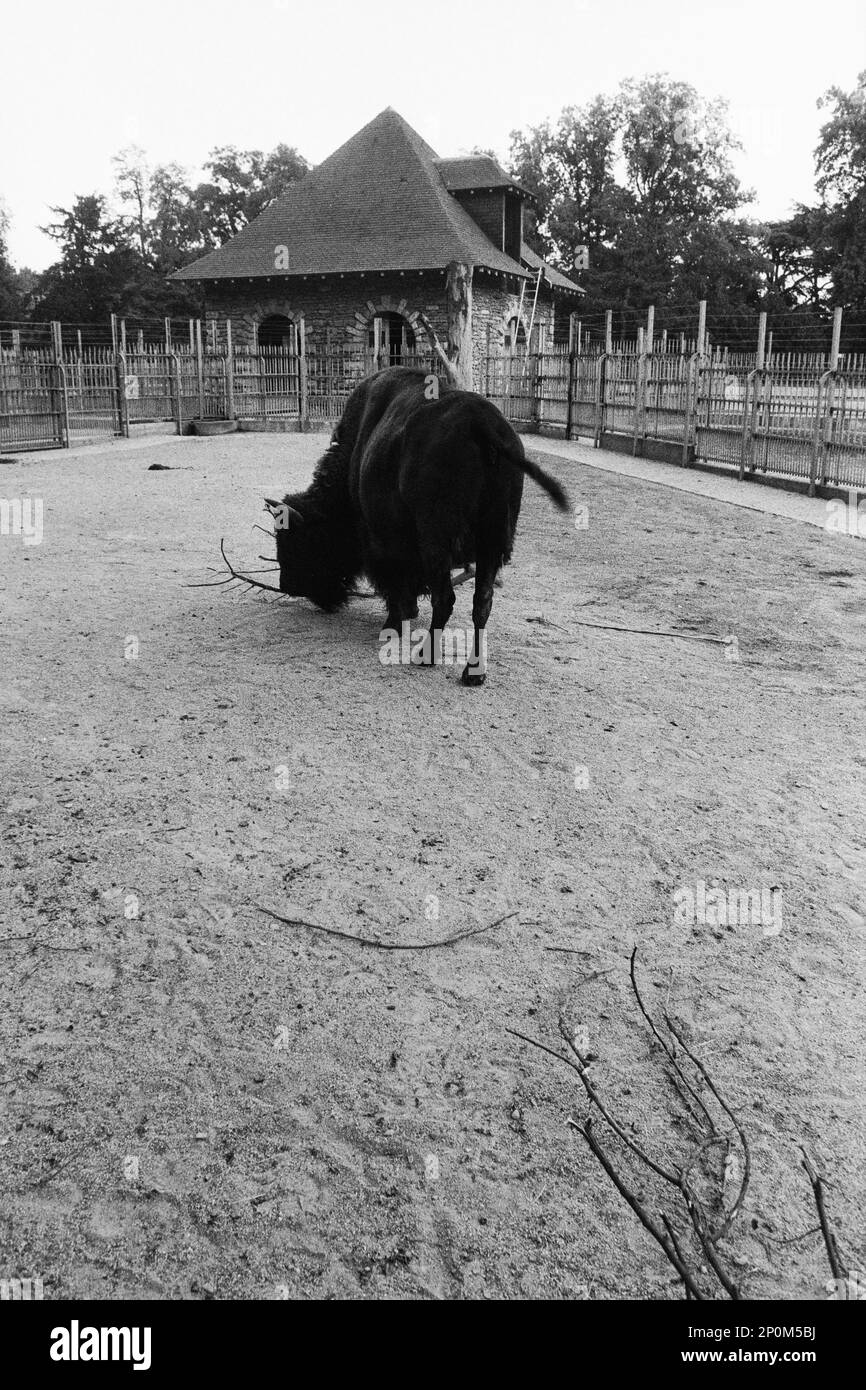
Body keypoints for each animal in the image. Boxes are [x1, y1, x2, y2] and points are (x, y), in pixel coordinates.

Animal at [268, 366, 572, 686]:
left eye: (299, 541)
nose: (287, 585)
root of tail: (482, 425)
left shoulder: (382, 543)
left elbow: (396, 584)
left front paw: (394, 622)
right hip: (492, 545)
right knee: (481, 602)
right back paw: (473, 672)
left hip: (438, 541)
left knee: (446, 599)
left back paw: (426, 657)